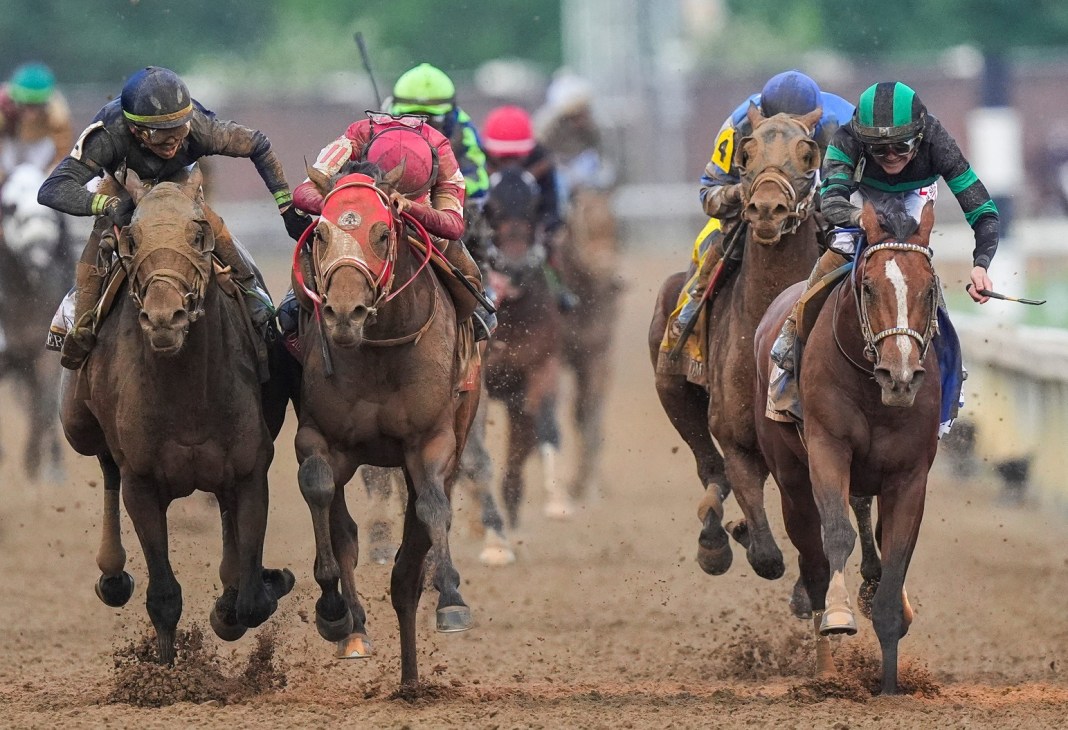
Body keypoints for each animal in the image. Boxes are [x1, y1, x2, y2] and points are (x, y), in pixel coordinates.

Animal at [59, 166, 294, 664]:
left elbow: (250, 602)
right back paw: (112, 575)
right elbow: (164, 595)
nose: (165, 318)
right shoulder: (143, 482)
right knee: (106, 464)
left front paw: (257, 587)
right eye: (131, 238)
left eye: (199, 232)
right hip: (77, 426)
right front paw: (164, 670)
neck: (187, 394)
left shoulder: (249, 470)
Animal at [292, 163, 480, 689]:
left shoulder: (431, 441)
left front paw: (452, 599)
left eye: (381, 232)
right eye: (321, 233)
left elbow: (434, 508)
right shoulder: (319, 437)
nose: (343, 314)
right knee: (346, 530)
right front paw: (334, 610)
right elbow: (319, 490)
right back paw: (356, 629)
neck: (377, 351)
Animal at [648, 106, 823, 581]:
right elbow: (767, 556)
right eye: (746, 152)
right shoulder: (738, 441)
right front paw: (736, 534)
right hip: (671, 378)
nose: (766, 208)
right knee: (710, 467)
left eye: (807, 154)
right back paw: (714, 538)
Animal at [753, 199, 941, 695]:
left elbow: (896, 556)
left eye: (929, 288)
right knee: (814, 559)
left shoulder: (909, 474)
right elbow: (837, 531)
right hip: (791, 479)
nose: (900, 376)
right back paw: (826, 669)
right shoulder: (828, 447)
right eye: (869, 286)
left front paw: (890, 683)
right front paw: (840, 616)